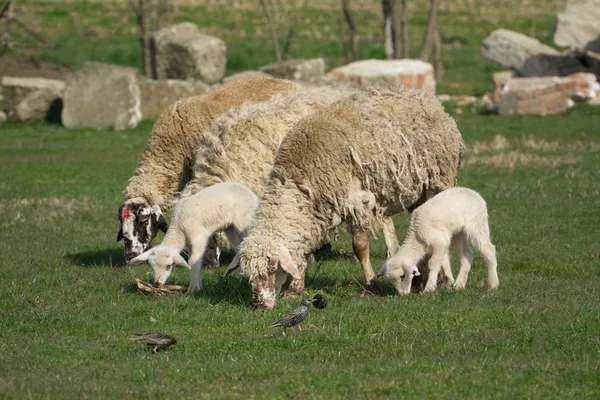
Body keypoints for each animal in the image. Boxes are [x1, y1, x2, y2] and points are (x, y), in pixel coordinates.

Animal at [129, 183, 258, 292]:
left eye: (168, 266)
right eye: (152, 266)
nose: (157, 284)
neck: (178, 228)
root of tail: (252, 194)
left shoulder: (199, 239)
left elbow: (192, 261)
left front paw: (193, 289)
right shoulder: (190, 244)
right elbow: (194, 261)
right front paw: (198, 286)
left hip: (245, 222)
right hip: (231, 229)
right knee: (240, 247)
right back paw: (236, 275)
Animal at [238, 84, 464, 310]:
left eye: (271, 268)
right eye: (250, 276)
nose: (259, 305)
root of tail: (425, 97)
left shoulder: (356, 202)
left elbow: (360, 246)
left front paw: (371, 286)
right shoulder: (317, 212)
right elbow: (306, 251)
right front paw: (295, 289)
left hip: (438, 181)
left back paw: (443, 280)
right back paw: (420, 279)